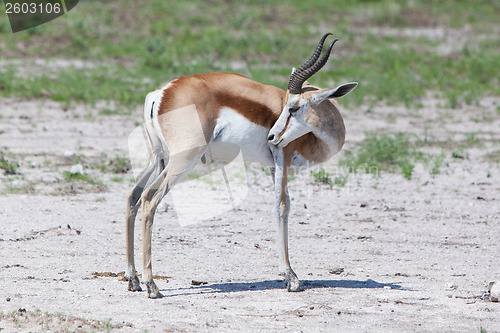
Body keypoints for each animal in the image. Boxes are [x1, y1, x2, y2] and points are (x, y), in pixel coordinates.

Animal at [127, 32, 358, 296]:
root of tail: (162, 93)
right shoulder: (283, 156)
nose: (271, 137)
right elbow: (281, 206)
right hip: (183, 160)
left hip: (160, 158)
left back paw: (133, 279)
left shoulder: (272, 165)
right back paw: (152, 285)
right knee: (149, 198)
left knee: (133, 196)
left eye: (294, 106)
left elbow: (284, 203)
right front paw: (292, 279)